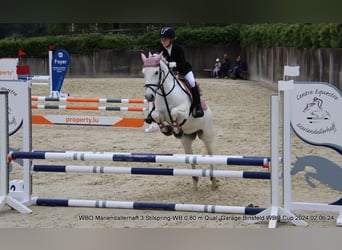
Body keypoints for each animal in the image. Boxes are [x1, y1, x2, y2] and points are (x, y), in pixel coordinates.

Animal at [140, 52, 218, 189]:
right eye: (143, 72)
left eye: (156, 72)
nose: (149, 96)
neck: (165, 93)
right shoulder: (159, 113)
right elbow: (155, 115)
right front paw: (166, 129)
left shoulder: (184, 110)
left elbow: (174, 112)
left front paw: (175, 129)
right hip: (186, 140)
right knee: (191, 157)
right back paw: (195, 180)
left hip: (207, 136)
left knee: (210, 155)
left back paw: (213, 181)